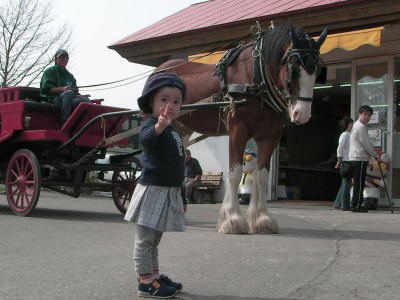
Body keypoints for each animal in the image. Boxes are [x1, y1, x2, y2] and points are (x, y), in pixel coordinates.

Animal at [157, 24, 328, 234]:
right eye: (293, 68)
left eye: (318, 70)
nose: (301, 114)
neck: (256, 78)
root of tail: (161, 69)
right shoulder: (238, 131)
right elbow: (235, 174)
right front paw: (232, 220)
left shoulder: (270, 135)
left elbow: (261, 177)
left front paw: (262, 219)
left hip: (182, 129)